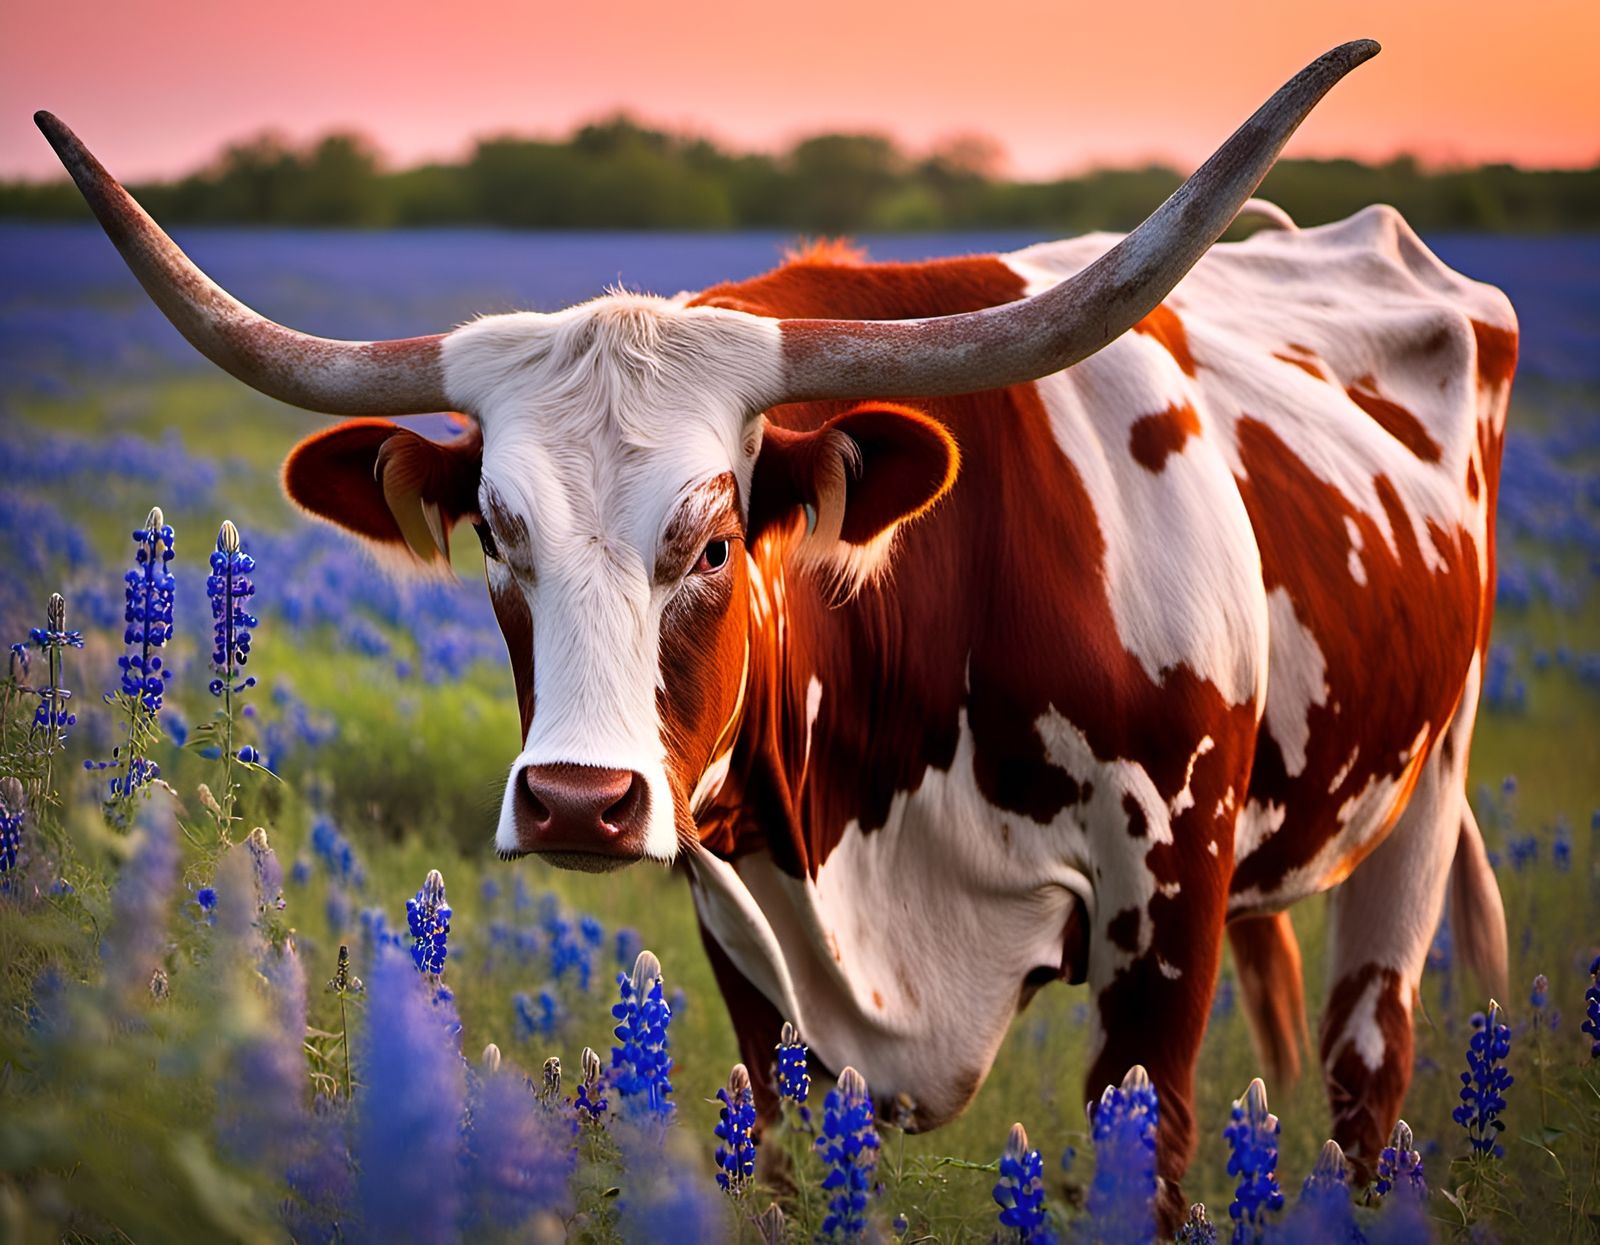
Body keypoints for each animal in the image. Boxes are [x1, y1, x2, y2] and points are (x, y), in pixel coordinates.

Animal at [38, 38, 1514, 1223]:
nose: (579, 802)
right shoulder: (754, 957)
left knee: (1367, 1075)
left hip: (1422, 796)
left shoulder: (1166, 918)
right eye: (498, 535)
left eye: (711, 542)